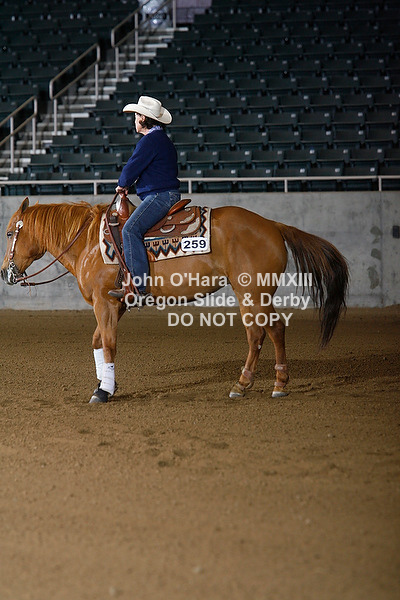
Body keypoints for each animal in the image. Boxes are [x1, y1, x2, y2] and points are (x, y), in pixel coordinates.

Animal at [1, 197, 349, 403]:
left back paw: (277, 384)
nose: (6, 272)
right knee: (256, 334)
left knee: (273, 329)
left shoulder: (105, 303)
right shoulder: (116, 304)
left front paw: (104, 391)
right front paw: (105, 383)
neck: (87, 241)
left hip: (254, 291)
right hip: (246, 294)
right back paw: (243, 384)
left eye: (8, 233)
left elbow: (109, 343)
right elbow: (98, 341)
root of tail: (273, 225)